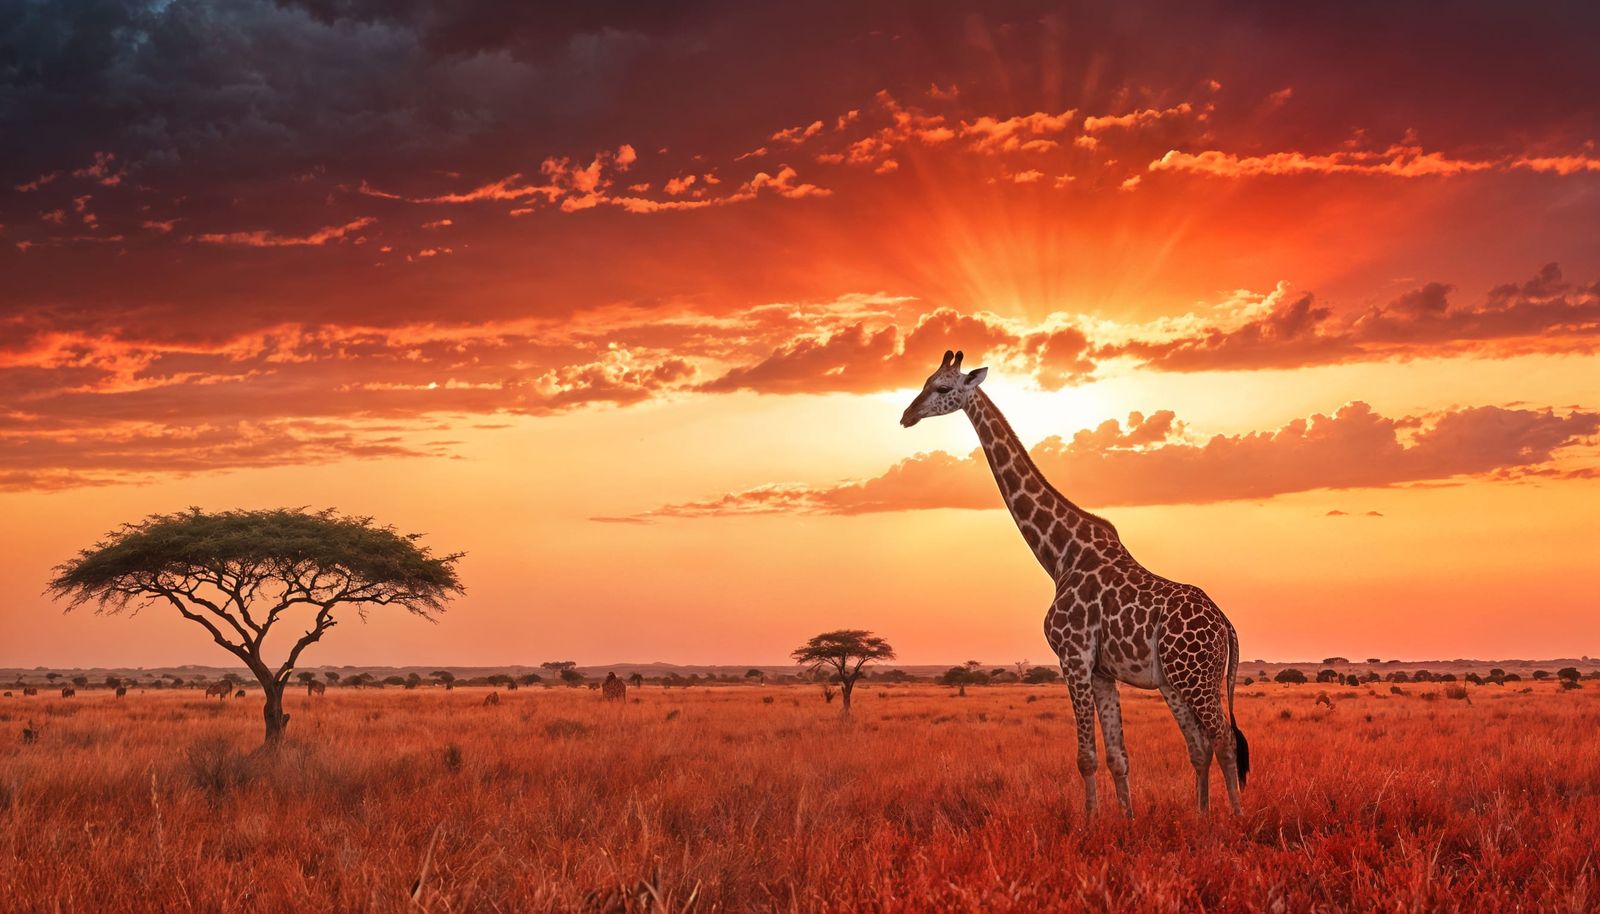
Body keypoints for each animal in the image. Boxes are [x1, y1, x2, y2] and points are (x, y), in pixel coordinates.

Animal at [900, 350, 1250, 816]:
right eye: (924, 381)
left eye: (941, 388)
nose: (907, 416)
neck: (1060, 555)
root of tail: (1226, 624)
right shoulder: (1101, 670)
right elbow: (1118, 757)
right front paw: (1127, 821)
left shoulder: (1073, 656)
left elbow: (1085, 756)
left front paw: (1089, 823)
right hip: (1176, 680)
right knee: (1200, 745)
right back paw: (1201, 817)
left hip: (1196, 677)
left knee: (1225, 740)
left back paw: (1234, 819)